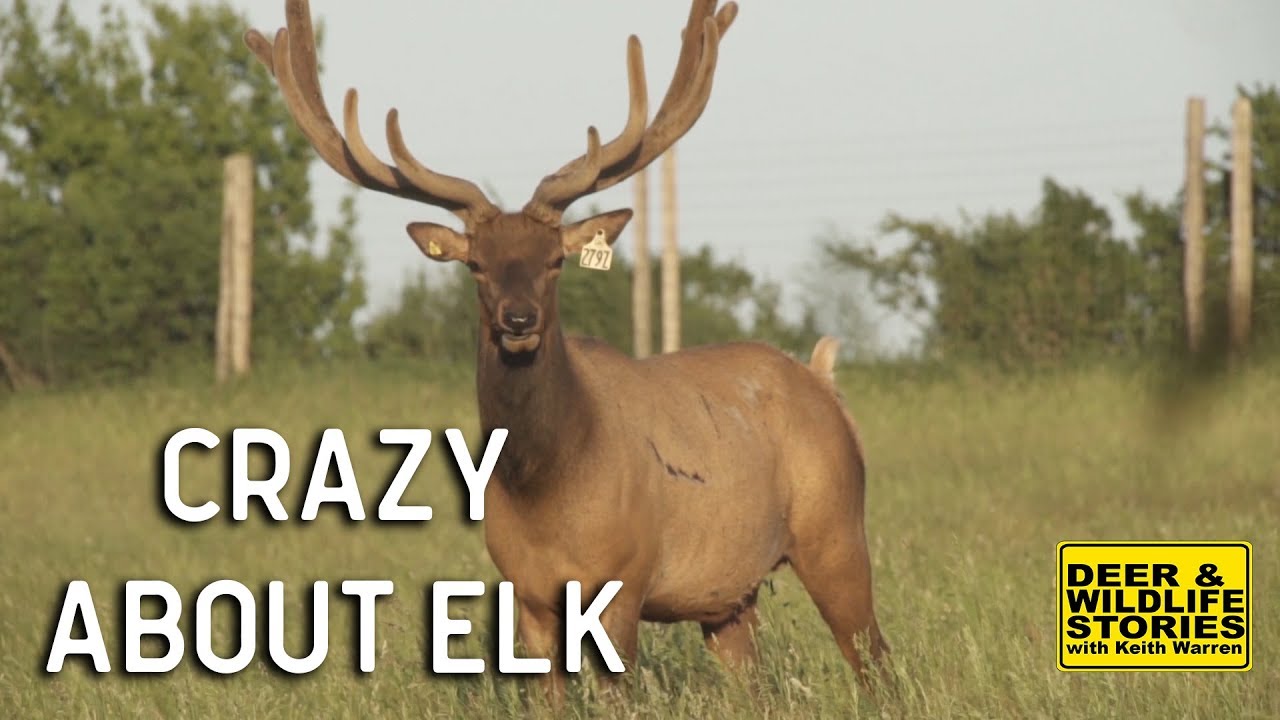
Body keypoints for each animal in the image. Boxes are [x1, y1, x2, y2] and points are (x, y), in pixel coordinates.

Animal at [245, 0, 889, 703]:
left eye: (555, 260)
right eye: (476, 264)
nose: (519, 319)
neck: (548, 493)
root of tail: (823, 383)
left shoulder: (625, 580)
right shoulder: (525, 594)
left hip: (835, 529)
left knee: (877, 663)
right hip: (729, 594)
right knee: (757, 680)